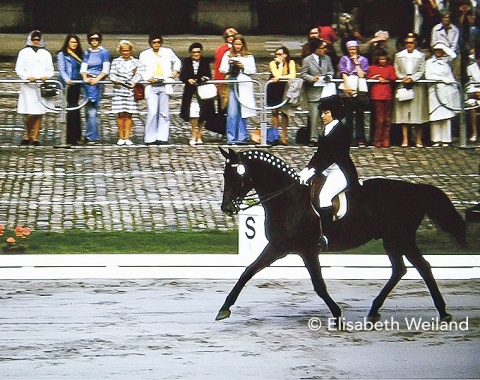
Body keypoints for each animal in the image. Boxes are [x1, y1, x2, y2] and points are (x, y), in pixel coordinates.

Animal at [217, 148, 464, 324]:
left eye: (235, 175)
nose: (226, 208)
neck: (287, 198)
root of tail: (415, 189)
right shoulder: (278, 246)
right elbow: (247, 272)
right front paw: (224, 309)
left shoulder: (307, 249)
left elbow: (319, 285)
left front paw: (336, 313)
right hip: (392, 240)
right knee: (402, 270)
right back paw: (375, 311)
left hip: (400, 238)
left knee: (422, 267)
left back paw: (442, 312)